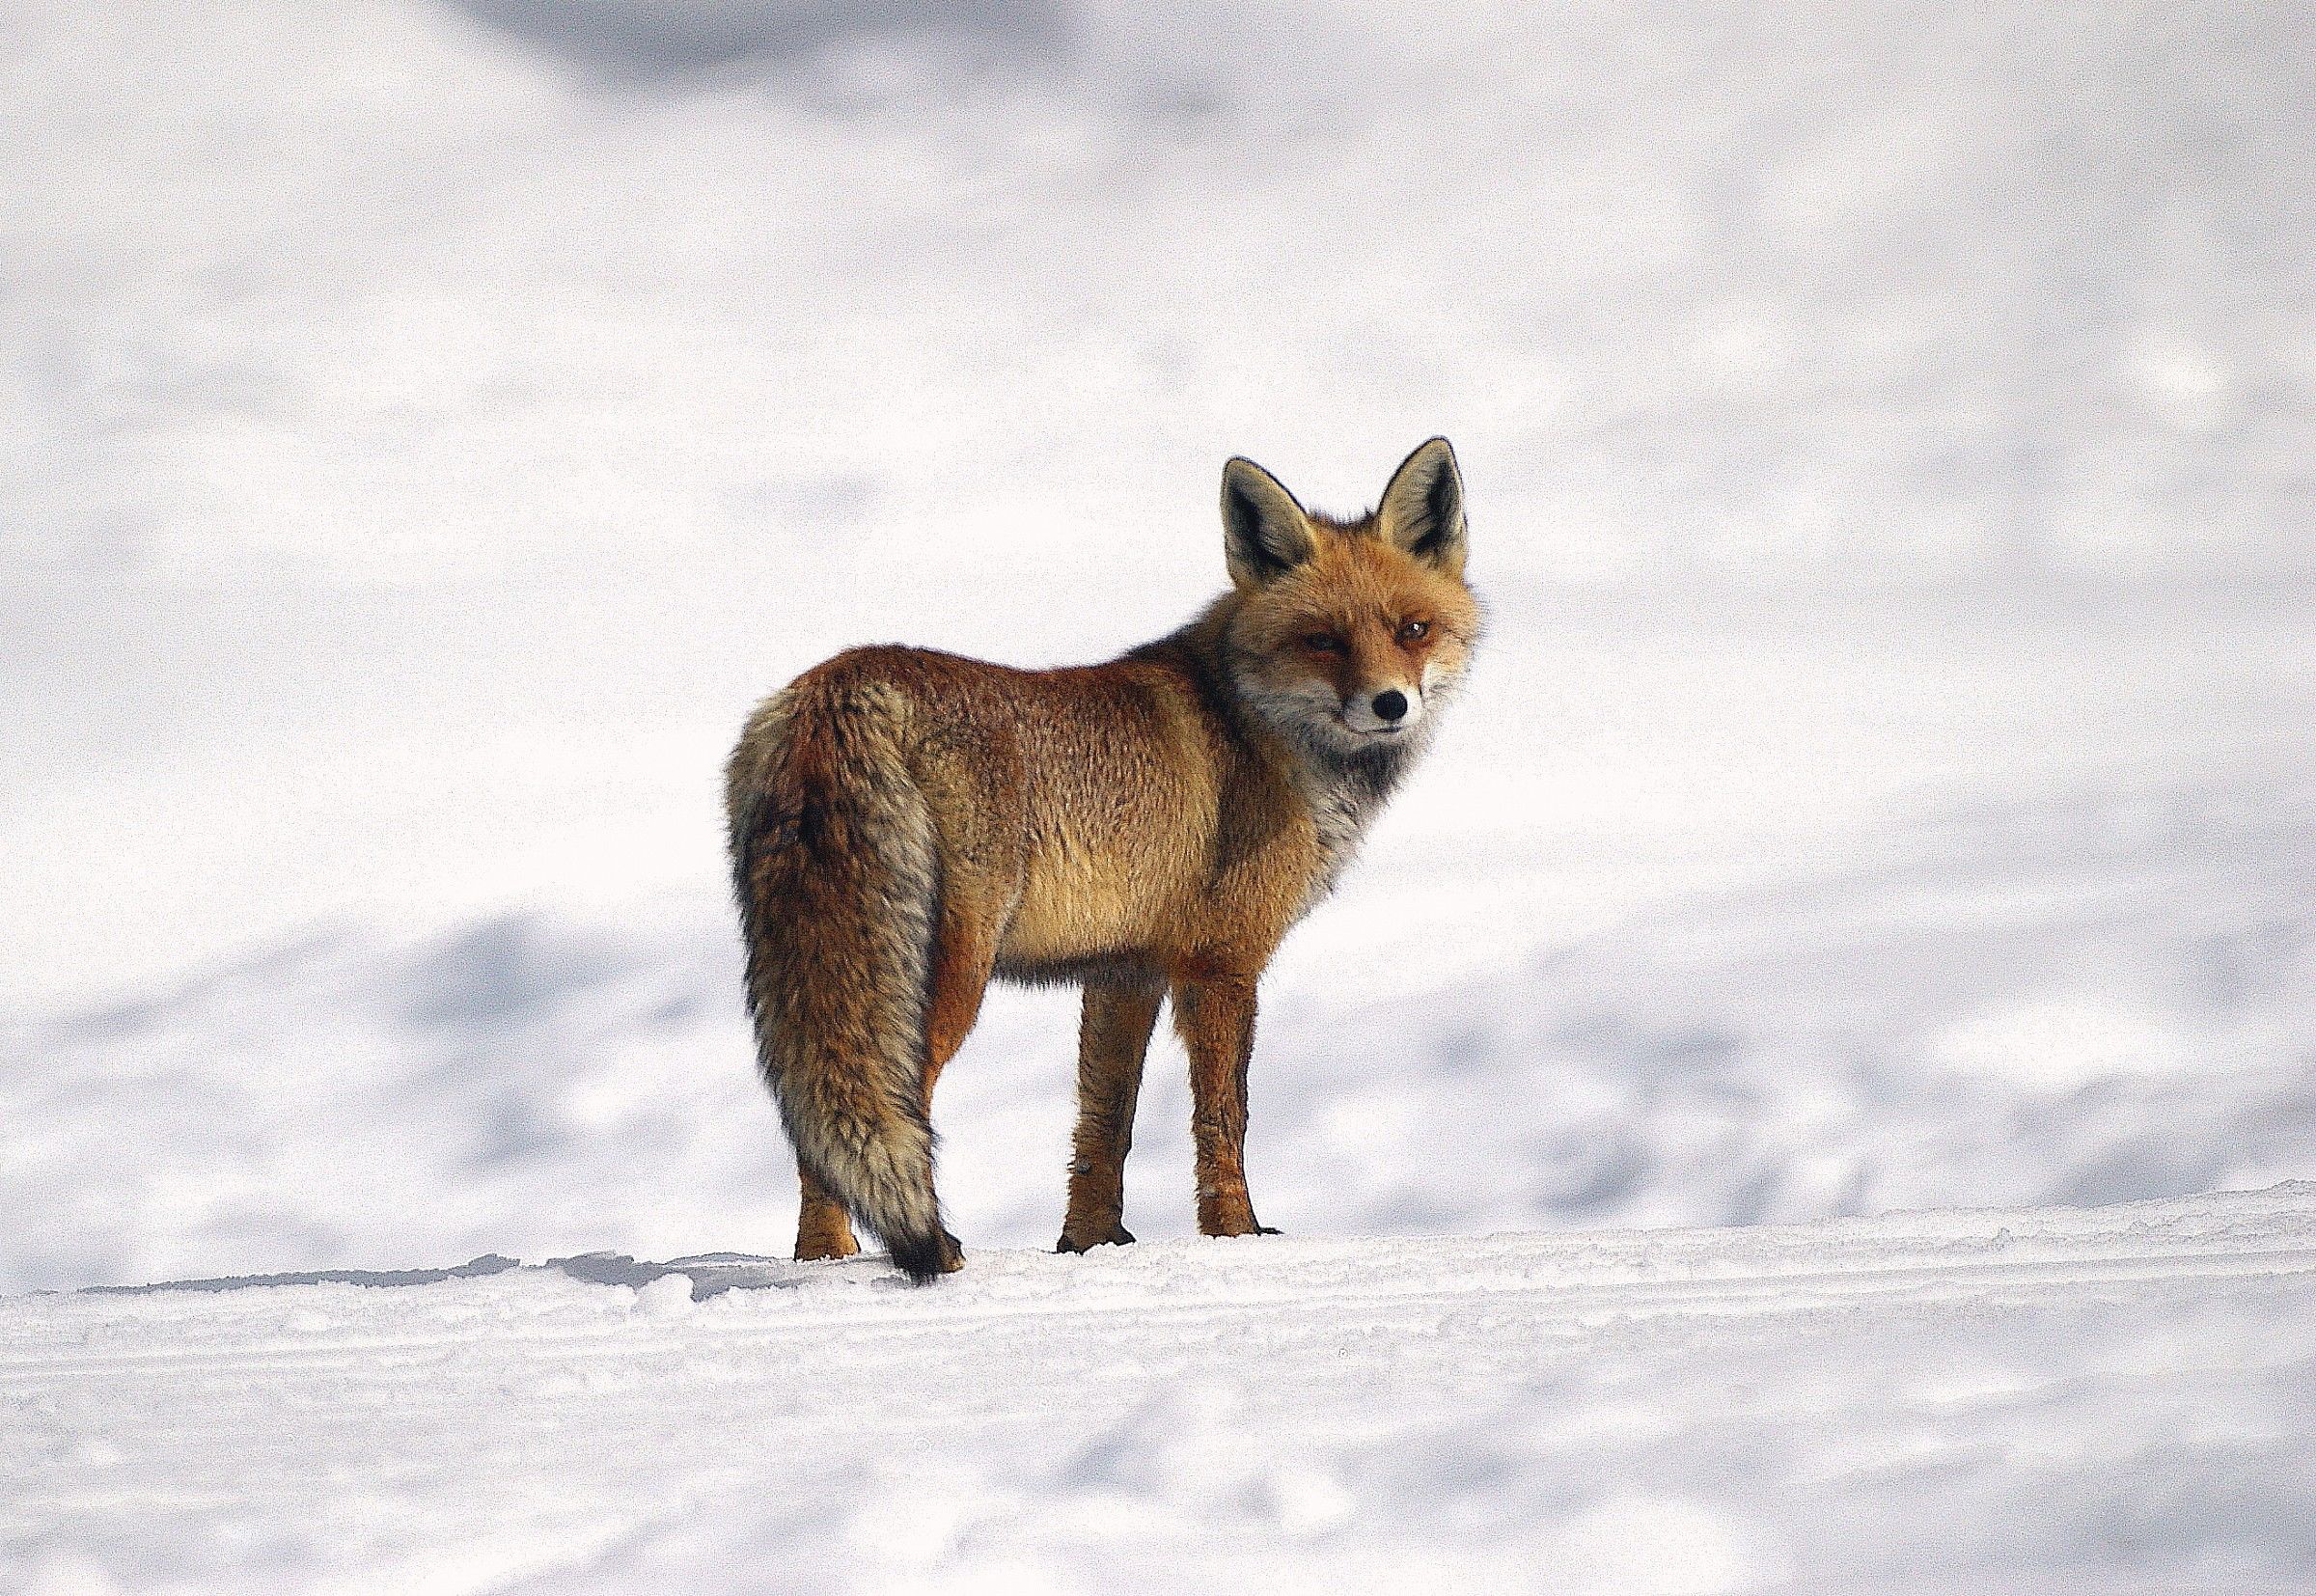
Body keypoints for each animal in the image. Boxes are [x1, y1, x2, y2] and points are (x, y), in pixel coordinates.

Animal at [724, 438, 1479, 1281]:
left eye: (1413, 628)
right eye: (1324, 639)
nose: (1391, 704)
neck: (1252, 726)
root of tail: (837, 689)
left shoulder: (1125, 970)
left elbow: (1104, 1126)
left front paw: (1088, 1245)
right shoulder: (1221, 961)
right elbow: (1226, 1116)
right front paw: (1235, 1234)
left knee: (813, 1118)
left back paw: (822, 1261)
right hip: (945, 979)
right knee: (882, 1110)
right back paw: (911, 1254)